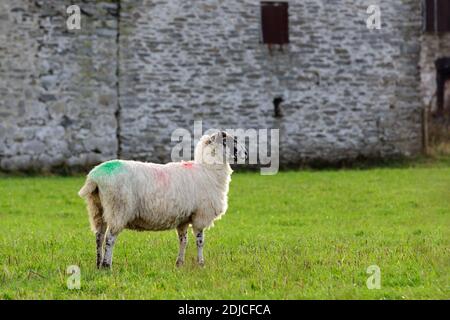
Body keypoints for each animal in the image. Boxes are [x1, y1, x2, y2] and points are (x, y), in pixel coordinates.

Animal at [77, 131, 246, 268]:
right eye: (229, 141)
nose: (245, 153)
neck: (209, 170)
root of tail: (95, 177)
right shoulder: (200, 215)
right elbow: (200, 241)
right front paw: (201, 264)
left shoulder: (184, 218)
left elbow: (183, 240)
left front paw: (179, 264)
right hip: (118, 208)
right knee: (109, 239)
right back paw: (107, 265)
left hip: (97, 208)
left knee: (99, 237)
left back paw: (98, 264)